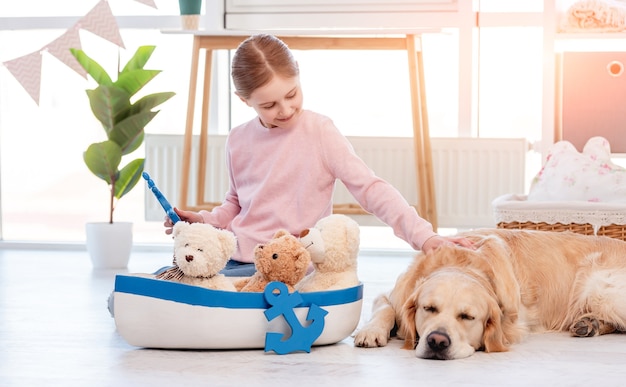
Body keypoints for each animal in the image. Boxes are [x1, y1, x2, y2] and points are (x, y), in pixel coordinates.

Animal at [354, 230, 624, 360]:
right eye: (428, 309)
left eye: (467, 317)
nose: (437, 341)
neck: (462, 263)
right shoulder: (395, 295)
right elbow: (385, 309)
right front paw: (371, 331)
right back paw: (589, 323)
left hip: (600, 288)